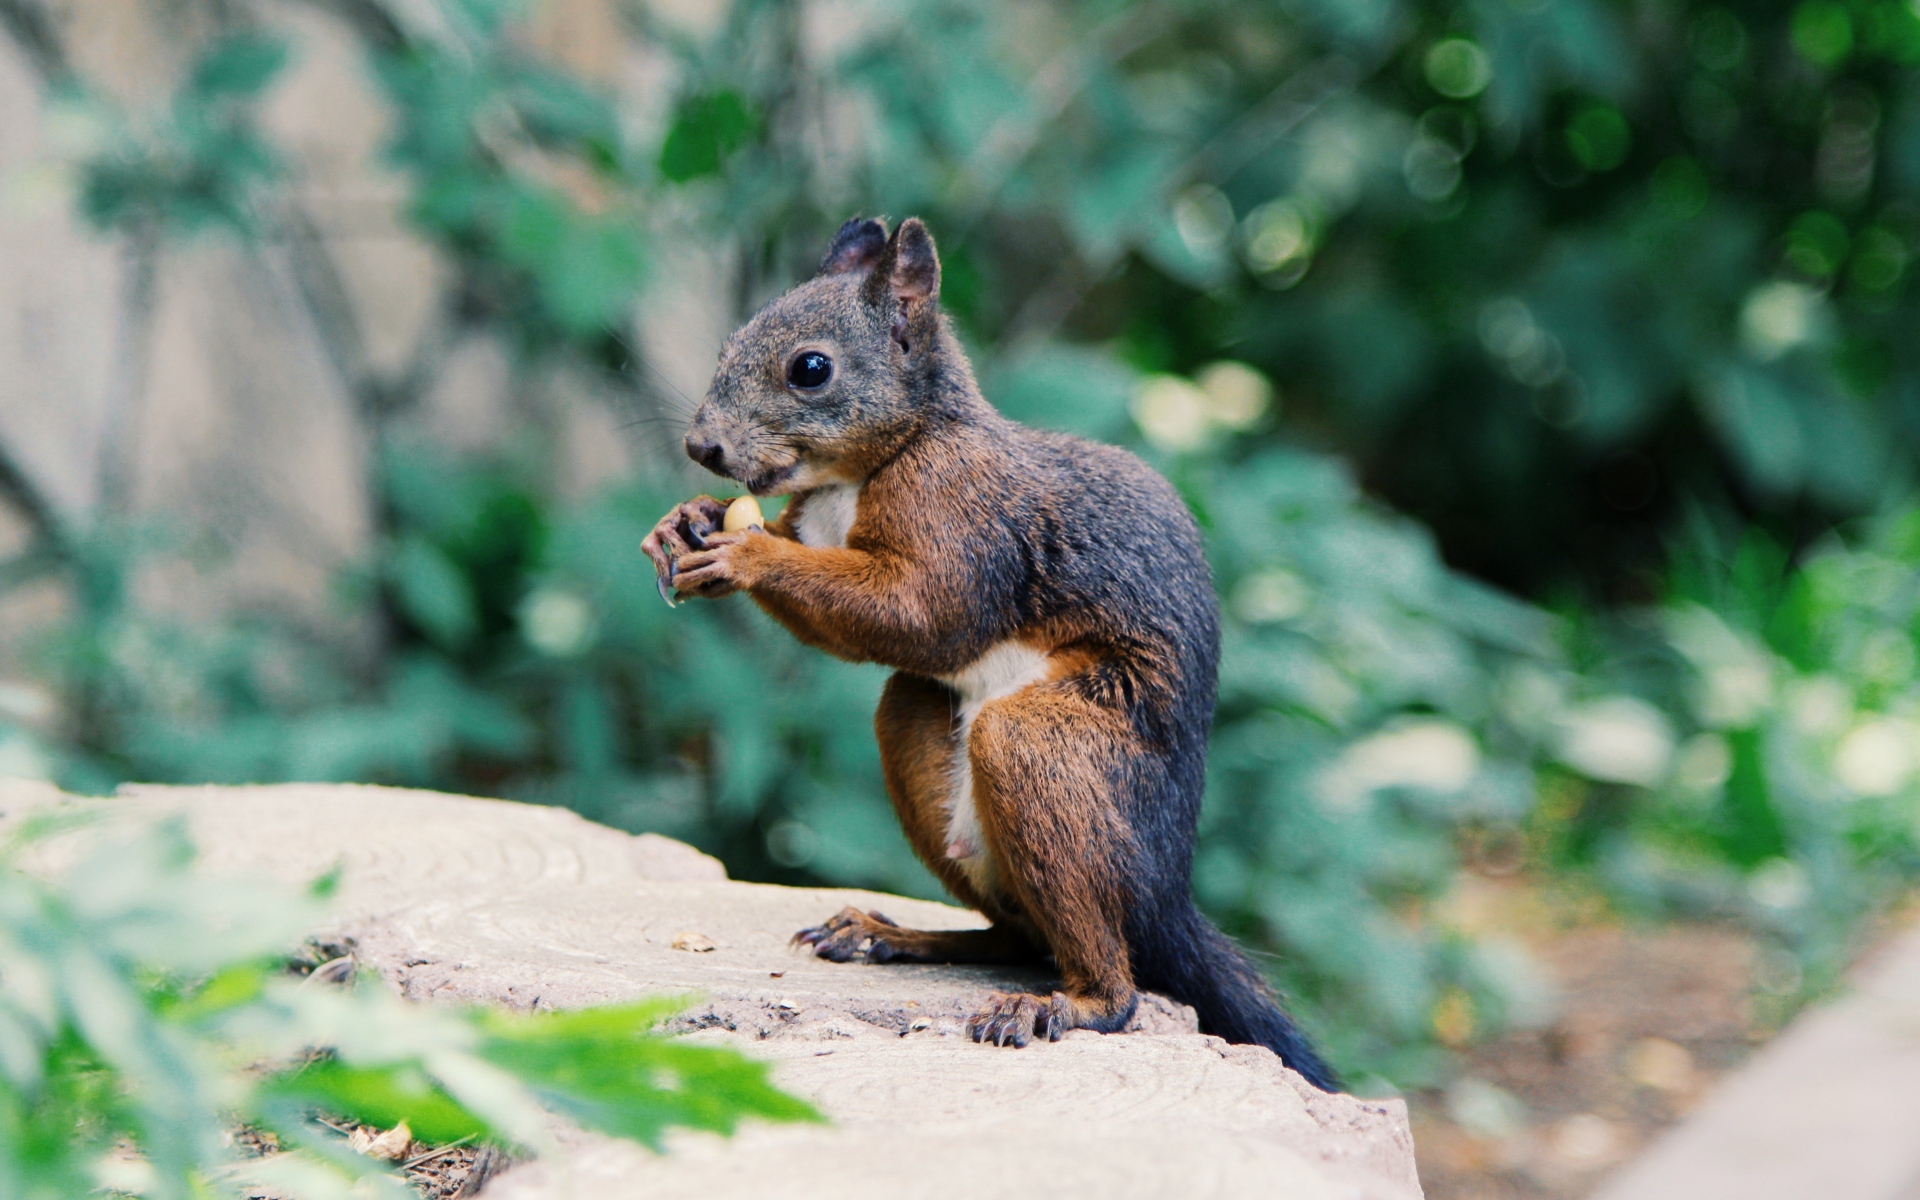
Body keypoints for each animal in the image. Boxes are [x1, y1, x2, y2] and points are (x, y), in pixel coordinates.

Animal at [641, 216, 1337, 1091]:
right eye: (728, 341)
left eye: (811, 368)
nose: (702, 447)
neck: (871, 467)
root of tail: (1166, 894)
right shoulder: (815, 520)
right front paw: (684, 521)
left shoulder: (965, 513)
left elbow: (920, 614)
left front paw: (745, 552)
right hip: (919, 734)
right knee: (1015, 933)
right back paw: (889, 934)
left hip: (1054, 751)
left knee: (1110, 979)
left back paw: (1066, 1004)